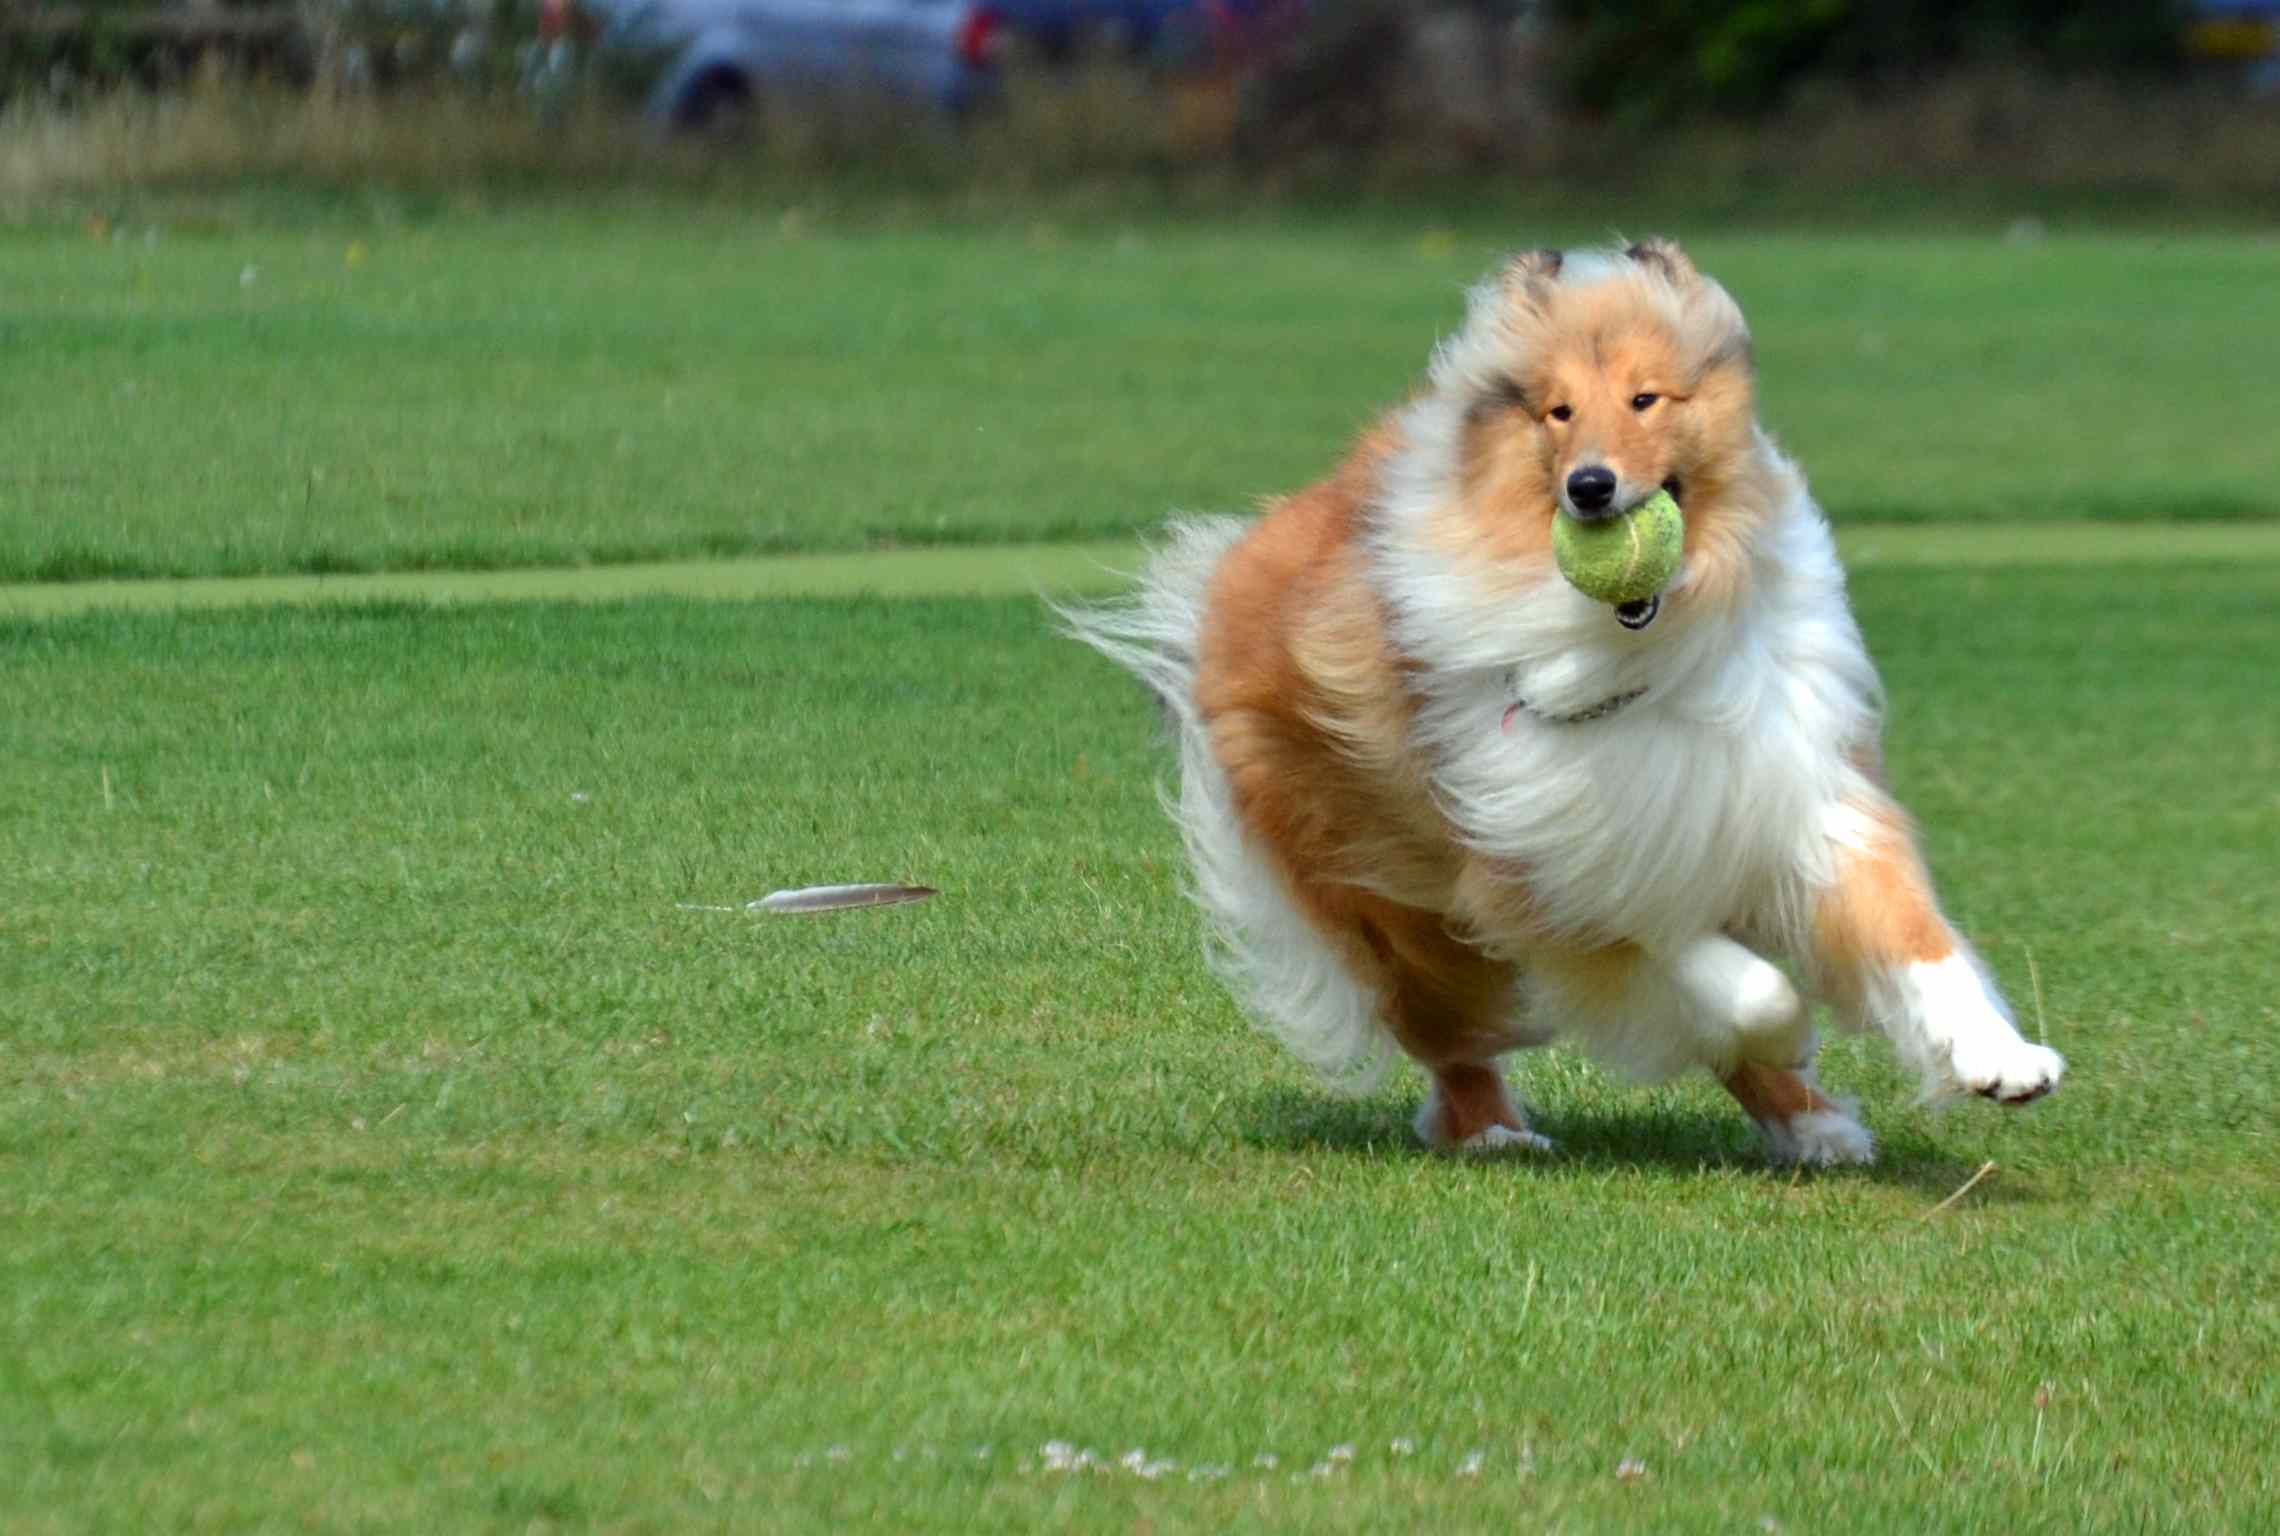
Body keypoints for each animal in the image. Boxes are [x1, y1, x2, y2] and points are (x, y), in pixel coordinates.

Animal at [1067, 235, 2070, 1162]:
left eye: (1645, 398)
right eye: (1557, 410)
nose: (1590, 488)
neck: (1650, 645)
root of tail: (1233, 563)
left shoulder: (1793, 790)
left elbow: (1913, 937)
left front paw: (2000, 1060)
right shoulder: (1554, 864)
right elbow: (1740, 987)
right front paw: (1793, 1031)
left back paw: (1814, 1127)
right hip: (1399, 911)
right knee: (1450, 1041)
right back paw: (1492, 1133)